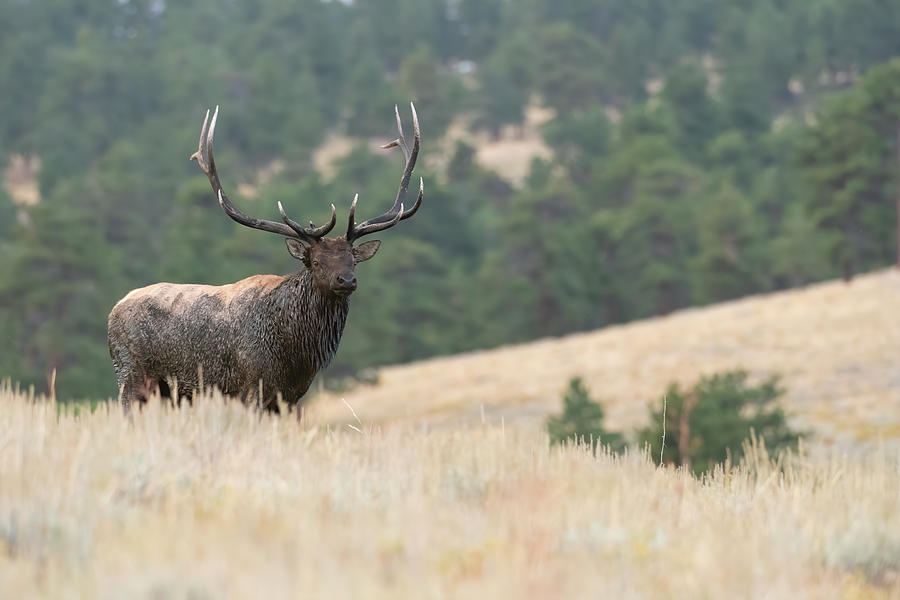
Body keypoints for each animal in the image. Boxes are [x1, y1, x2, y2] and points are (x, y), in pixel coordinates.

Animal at [107, 103, 424, 412]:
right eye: (316, 262)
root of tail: (113, 311)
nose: (346, 280)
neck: (296, 354)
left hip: (167, 392)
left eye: (353, 260)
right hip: (131, 374)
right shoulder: (252, 386)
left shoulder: (292, 396)